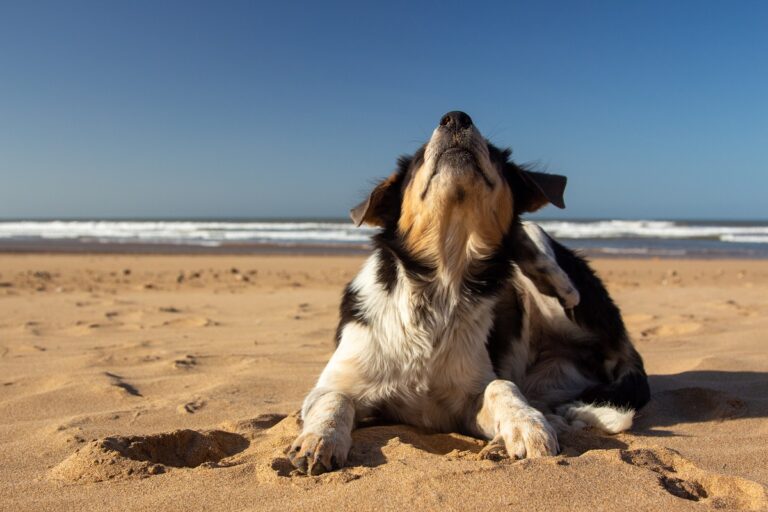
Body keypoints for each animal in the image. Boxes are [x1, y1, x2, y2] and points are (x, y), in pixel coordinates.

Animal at [288, 110, 648, 474]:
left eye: (493, 153)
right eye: (419, 158)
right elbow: (335, 399)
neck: (442, 286)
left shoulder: (467, 402)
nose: (456, 116)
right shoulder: (336, 384)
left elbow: (501, 387)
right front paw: (320, 440)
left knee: (545, 260)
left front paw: (527, 425)